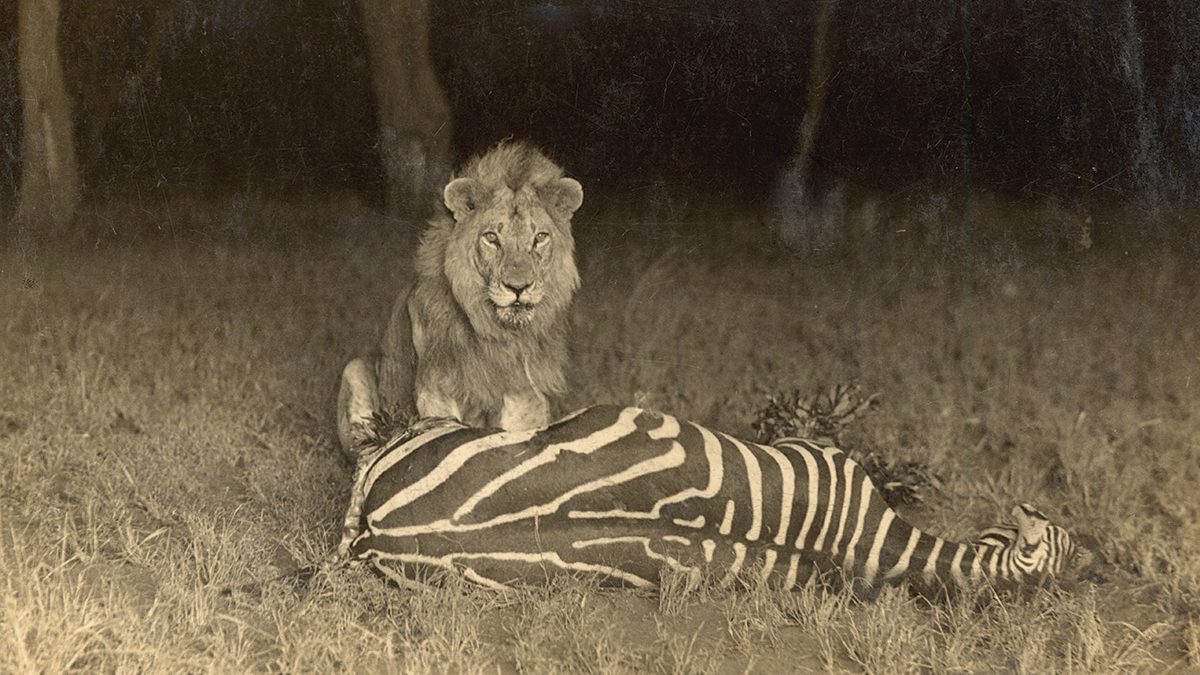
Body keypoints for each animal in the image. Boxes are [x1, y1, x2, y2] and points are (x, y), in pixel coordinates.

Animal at [337, 140, 584, 454]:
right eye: (491, 238)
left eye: (540, 237)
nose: (518, 287)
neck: (492, 330)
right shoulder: (436, 389)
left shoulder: (524, 393)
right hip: (354, 369)